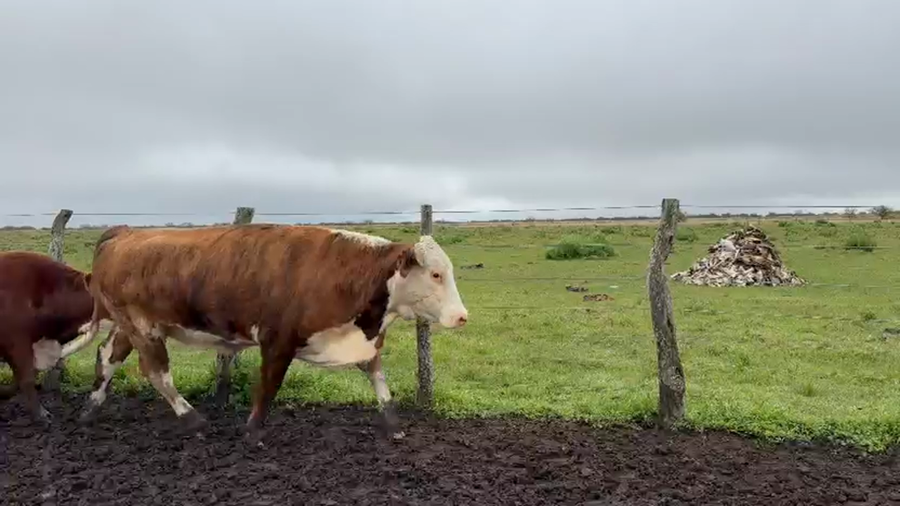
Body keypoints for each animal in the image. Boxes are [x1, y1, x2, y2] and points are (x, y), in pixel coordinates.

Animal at [77, 223, 468, 441]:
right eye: (435, 274)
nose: (462, 316)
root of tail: (124, 233)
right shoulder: (277, 341)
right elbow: (268, 385)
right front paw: (253, 431)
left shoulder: (361, 341)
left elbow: (379, 380)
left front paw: (392, 423)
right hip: (143, 327)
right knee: (157, 373)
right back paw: (192, 418)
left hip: (131, 327)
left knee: (107, 358)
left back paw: (91, 409)